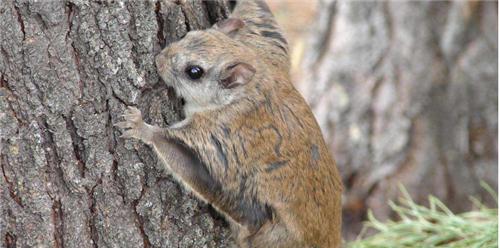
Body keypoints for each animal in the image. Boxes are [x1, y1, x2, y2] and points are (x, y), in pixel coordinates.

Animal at [117, 0, 344, 247]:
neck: (247, 90)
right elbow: (262, 14)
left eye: (194, 72)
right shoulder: (267, 46)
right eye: (188, 34)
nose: (159, 60)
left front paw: (141, 127)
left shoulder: (219, 134)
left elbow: (185, 159)